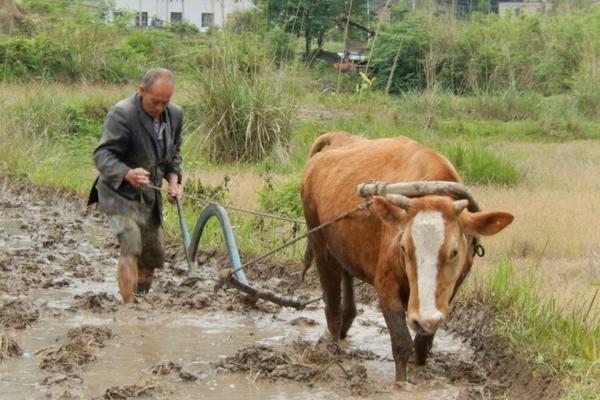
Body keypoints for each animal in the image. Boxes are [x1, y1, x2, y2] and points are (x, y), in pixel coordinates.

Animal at [302, 133, 512, 386]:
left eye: (454, 252)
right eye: (404, 247)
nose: (423, 318)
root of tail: (338, 138)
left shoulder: (451, 290)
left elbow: (423, 343)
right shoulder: (385, 285)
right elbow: (402, 342)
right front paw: (400, 385)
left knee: (347, 297)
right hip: (319, 245)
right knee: (331, 306)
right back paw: (333, 353)